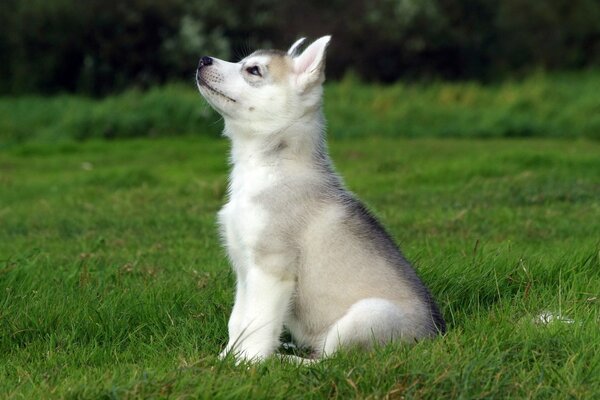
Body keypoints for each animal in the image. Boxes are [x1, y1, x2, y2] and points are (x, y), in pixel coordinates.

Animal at [197, 36, 446, 362]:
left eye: (253, 70)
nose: (203, 59)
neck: (269, 164)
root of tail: (435, 336)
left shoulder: (270, 268)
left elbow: (257, 323)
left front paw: (249, 364)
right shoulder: (244, 269)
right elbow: (238, 320)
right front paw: (224, 359)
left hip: (363, 317)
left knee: (329, 361)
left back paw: (285, 360)